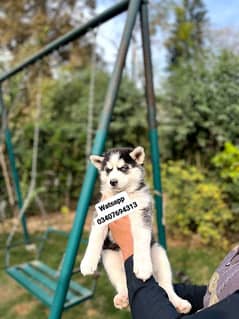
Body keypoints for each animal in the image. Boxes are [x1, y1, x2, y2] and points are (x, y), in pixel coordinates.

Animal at [81, 148, 191, 316]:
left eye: (124, 168)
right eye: (108, 170)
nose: (112, 181)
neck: (122, 198)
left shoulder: (142, 214)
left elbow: (140, 240)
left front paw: (143, 267)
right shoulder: (100, 215)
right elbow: (94, 238)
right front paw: (87, 263)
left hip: (159, 254)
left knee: (166, 286)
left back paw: (179, 303)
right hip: (110, 259)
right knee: (122, 282)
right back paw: (122, 297)